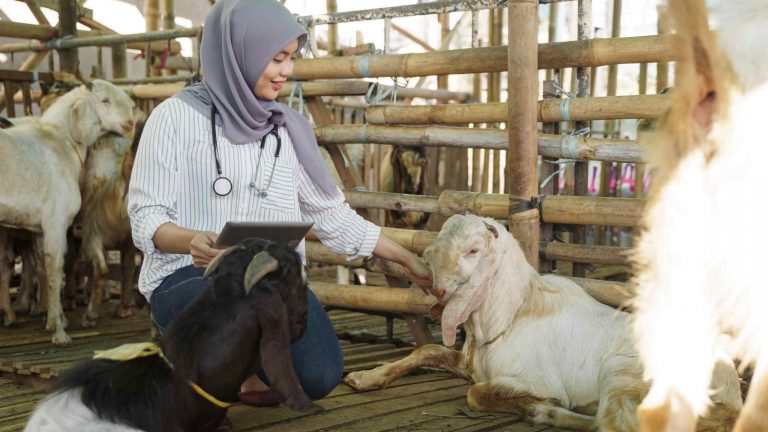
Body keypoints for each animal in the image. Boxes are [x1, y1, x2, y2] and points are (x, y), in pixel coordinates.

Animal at [0, 78, 135, 344]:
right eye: (104, 100)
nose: (130, 122)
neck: (63, 142)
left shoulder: (39, 229)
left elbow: (44, 267)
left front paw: (55, 320)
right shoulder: (56, 222)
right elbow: (55, 268)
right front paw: (59, 333)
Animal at [344, 214, 740, 430]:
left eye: (473, 250)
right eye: (432, 251)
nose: (439, 289)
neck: (511, 316)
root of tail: (733, 401)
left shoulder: (534, 379)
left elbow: (476, 393)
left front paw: (539, 402)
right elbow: (425, 349)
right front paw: (364, 377)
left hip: (623, 374)